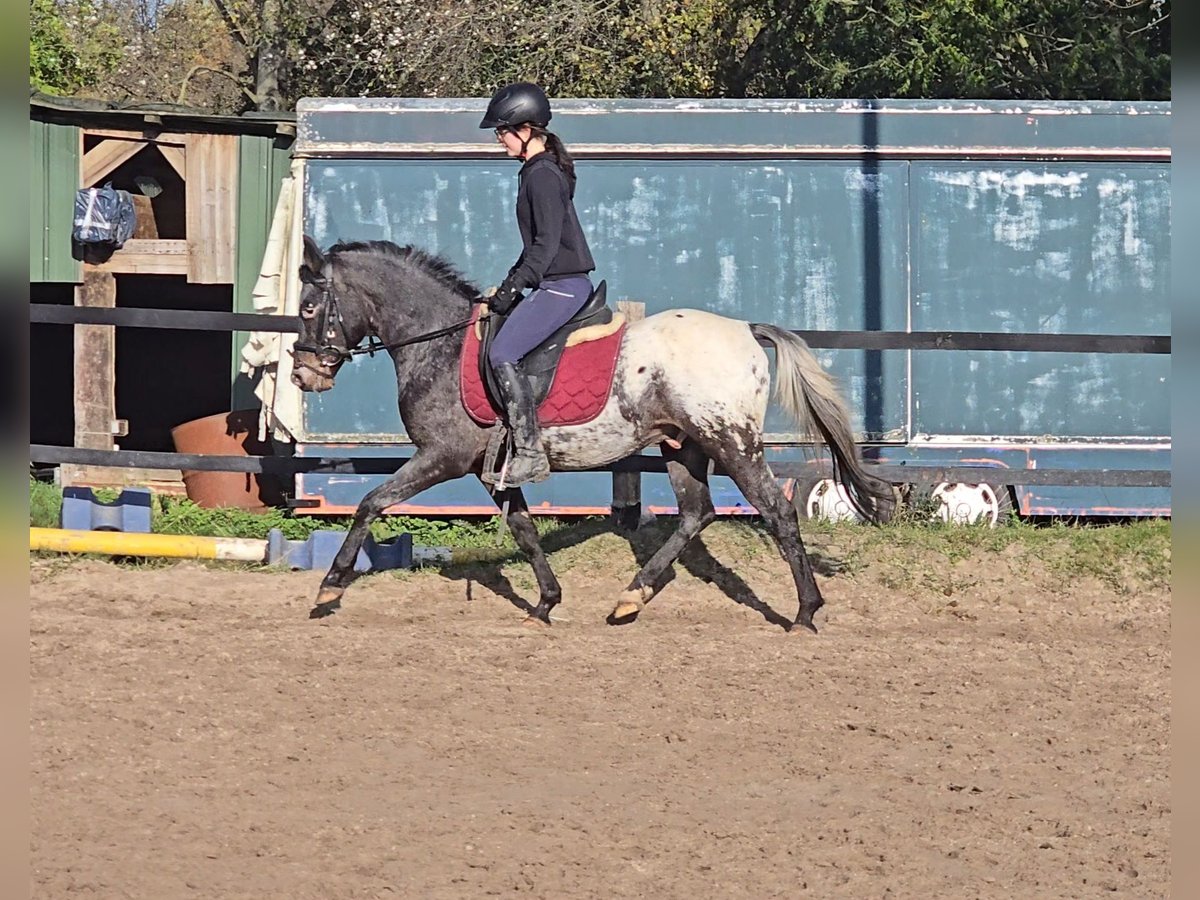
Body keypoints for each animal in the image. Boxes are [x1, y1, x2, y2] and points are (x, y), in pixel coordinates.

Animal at [288, 240, 892, 633]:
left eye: (310, 307)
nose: (303, 375)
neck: (438, 342)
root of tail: (746, 330)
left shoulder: (442, 456)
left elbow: (371, 503)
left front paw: (330, 587)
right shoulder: (492, 468)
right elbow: (524, 529)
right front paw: (546, 602)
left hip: (732, 442)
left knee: (777, 511)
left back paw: (806, 612)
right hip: (683, 445)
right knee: (696, 514)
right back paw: (630, 599)